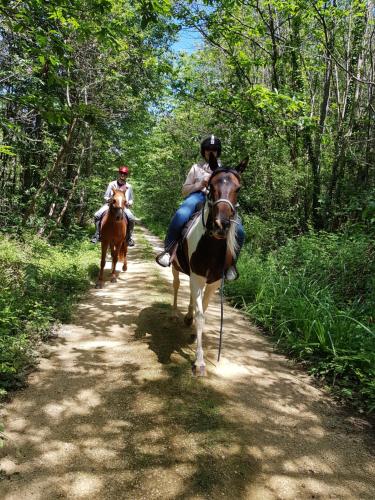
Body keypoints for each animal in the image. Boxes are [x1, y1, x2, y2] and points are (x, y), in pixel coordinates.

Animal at [170, 152, 247, 376]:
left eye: (238, 188)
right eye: (211, 185)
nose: (221, 225)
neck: (212, 245)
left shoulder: (213, 281)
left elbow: (202, 308)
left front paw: (193, 333)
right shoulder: (197, 276)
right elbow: (201, 315)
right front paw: (199, 361)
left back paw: (187, 317)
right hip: (176, 268)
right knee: (177, 286)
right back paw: (174, 314)